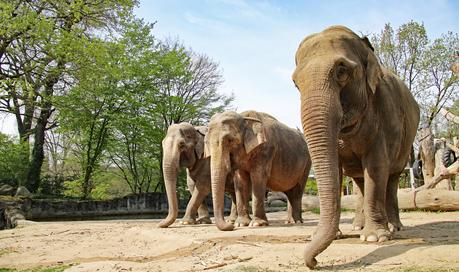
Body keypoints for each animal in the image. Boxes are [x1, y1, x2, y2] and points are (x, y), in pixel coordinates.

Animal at [294, 26, 420, 270]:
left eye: (341, 71)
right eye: (295, 83)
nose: (314, 262)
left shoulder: (384, 113)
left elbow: (376, 167)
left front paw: (375, 238)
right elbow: (338, 171)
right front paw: (332, 235)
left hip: (406, 143)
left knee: (391, 178)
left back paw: (393, 227)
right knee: (360, 181)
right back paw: (358, 227)